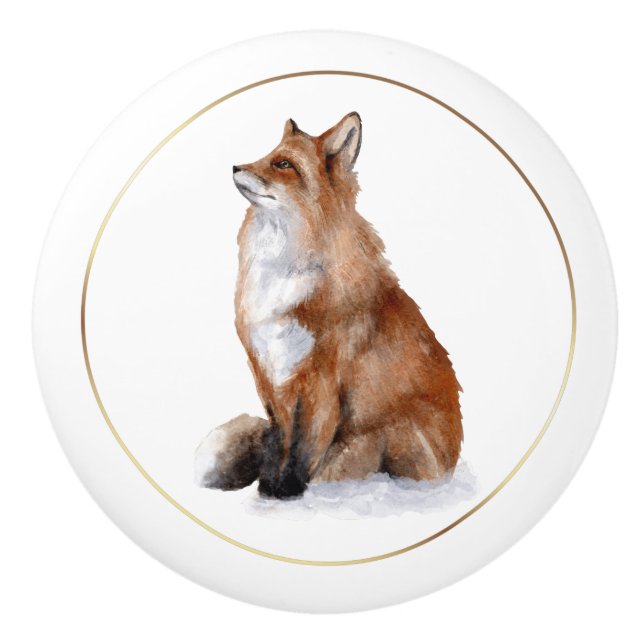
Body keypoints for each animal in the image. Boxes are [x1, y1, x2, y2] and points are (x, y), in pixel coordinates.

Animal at [194, 112, 463, 499]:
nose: (235, 167)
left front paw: (286, 491)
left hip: (388, 436)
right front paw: (268, 485)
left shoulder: (319, 379)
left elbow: (302, 448)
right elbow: (278, 441)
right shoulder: (271, 375)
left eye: (284, 164)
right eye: (268, 154)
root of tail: (450, 466)